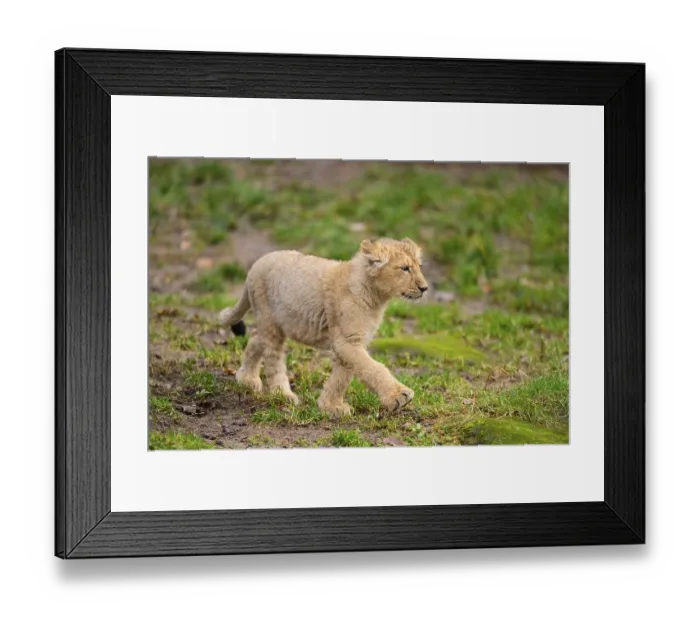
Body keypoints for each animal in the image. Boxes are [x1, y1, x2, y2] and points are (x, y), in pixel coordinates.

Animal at [218, 237, 429, 414]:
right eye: (404, 268)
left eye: (419, 267)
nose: (425, 288)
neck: (376, 297)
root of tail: (254, 266)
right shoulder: (347, 341)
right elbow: (374, 368)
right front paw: (399, 396)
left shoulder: (352, 341)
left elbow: (343, 376)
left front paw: (331, 406)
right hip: (270, 321)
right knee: (272, 358)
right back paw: (283, 395)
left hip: (272, 323)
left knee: (255, 339)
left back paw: (247, 379)